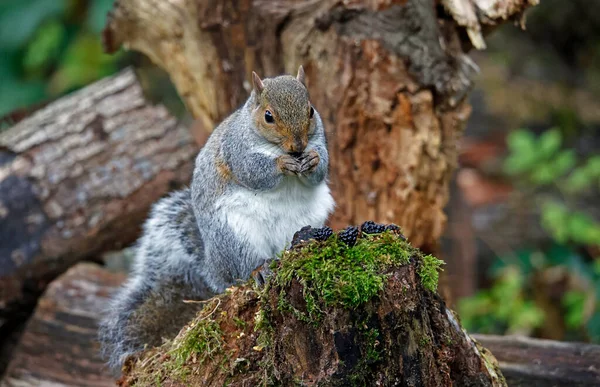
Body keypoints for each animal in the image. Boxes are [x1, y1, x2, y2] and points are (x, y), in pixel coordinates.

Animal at [97, 67, 332, 372]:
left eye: (311, 110)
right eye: (268, 116)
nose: (298, 145)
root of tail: (212, 267)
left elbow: (320, 168)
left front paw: (312, 160)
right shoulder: (236, 151)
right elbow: (255, 172)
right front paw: (281, 165)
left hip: (305, 223)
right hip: (234, 237)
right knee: (239, 272)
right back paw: (259, 269)